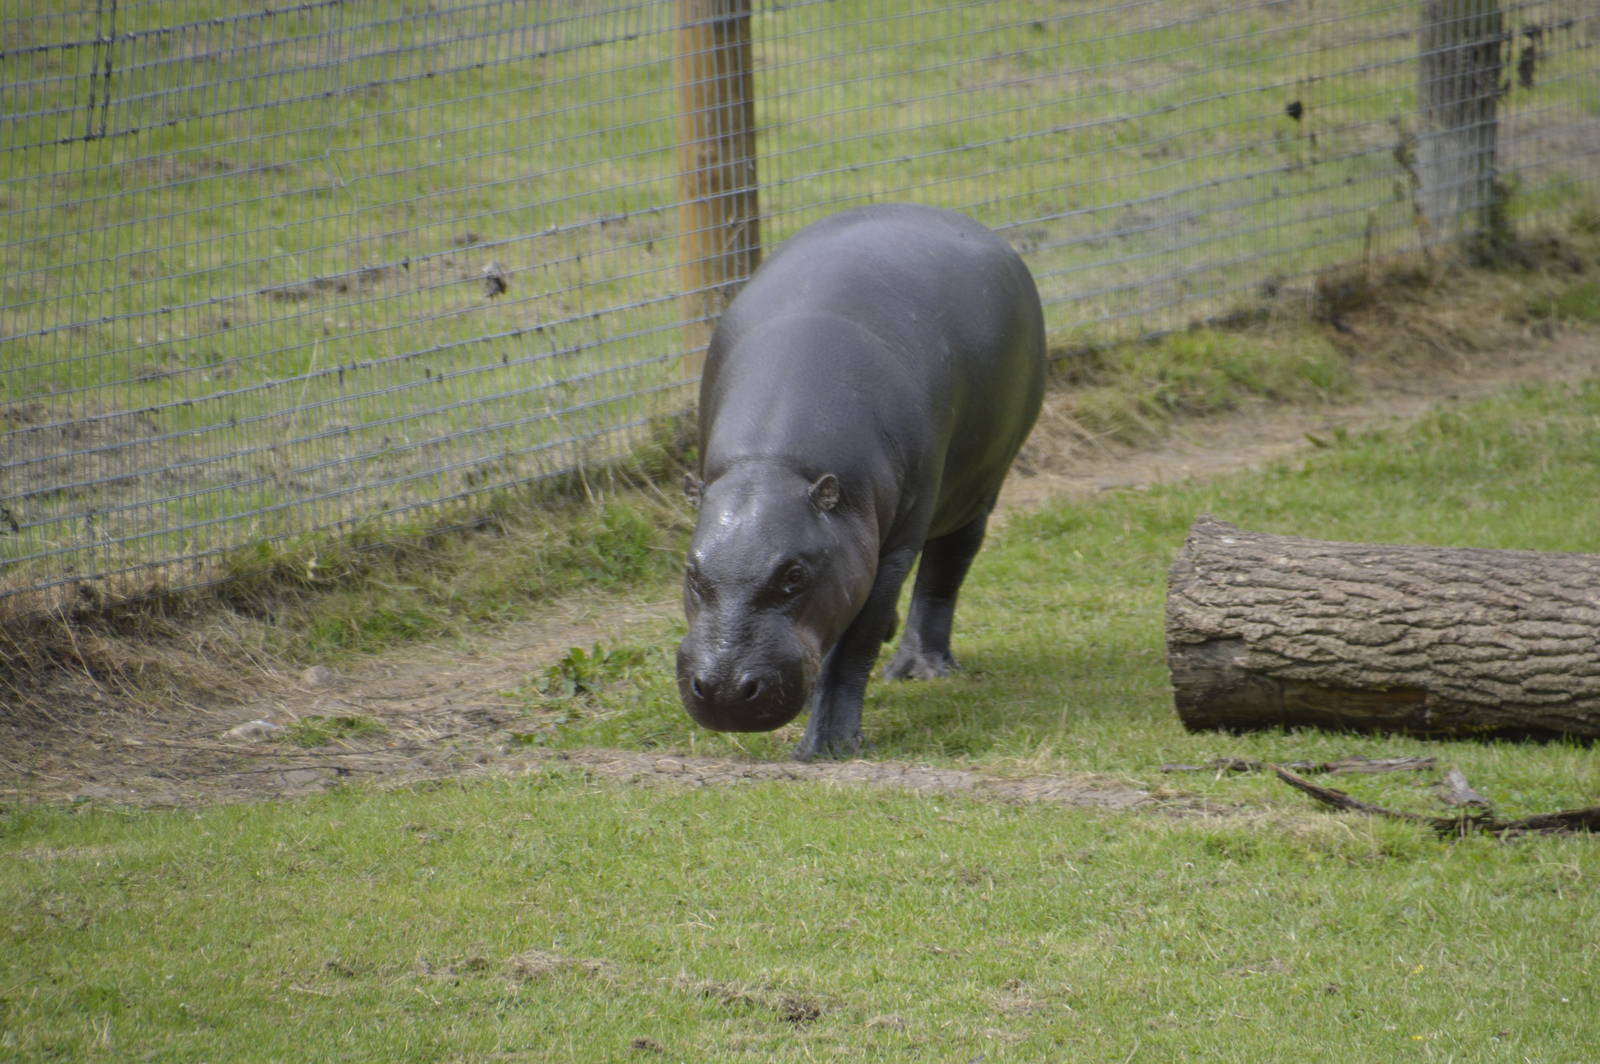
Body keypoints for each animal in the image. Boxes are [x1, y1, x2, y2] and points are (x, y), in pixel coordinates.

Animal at [676, 203, 1046, 760]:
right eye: (692, 573)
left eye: (794, 576)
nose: (723, 692)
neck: (775, 464)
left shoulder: (890, 550)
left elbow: (857, 642)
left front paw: (829, 746)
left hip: (977, 489)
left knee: (945, 572)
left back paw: (919, 668)